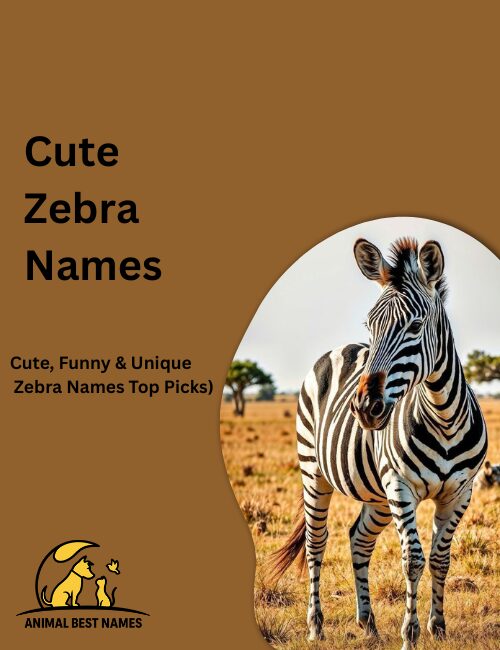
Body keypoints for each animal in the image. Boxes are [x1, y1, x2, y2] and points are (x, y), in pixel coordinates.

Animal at [269, 237, 487, 650]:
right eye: (371, 325)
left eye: (415, 325)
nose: (364, 408)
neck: (444, 417)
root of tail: (338, 348)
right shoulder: (400, 486)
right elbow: (413, 559)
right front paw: (410, 634)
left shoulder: (460, 492)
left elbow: (440, 558)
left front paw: (437, 627)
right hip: (314, 472)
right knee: (316, 543)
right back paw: (316, 626)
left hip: (377, 494)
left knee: (359, 539)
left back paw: (367, 622)